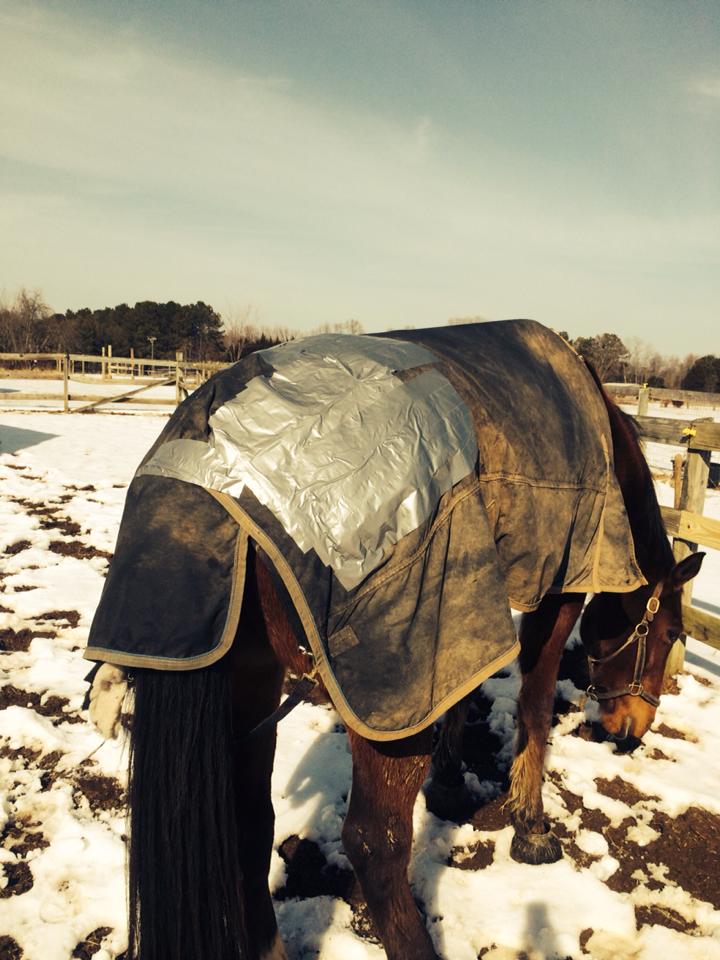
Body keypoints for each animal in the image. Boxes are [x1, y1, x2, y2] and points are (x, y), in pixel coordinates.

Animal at [88, 340, 703, 960]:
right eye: (671, 634)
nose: (633, 728)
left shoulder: (462, 615)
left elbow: (462, 692)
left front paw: (451, 778)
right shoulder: (558, 587)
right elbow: (533, 703)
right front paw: (531, 826)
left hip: (249, 675)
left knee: (249, 818)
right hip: (386, 708)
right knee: (373, 843)